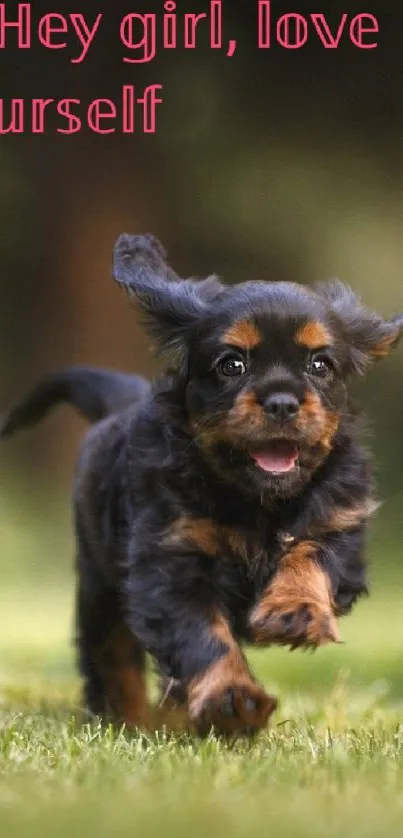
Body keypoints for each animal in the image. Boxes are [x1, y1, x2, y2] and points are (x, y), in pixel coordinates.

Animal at [1, 233, 402, 740]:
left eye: (320, 364)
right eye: (231, 365)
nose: (282, 403)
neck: (257, 500)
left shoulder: (340, 524)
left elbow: (309, 554)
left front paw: (295, 610)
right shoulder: (170, 561)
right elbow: (204, 636)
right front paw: (232, 700)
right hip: (100, 587)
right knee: (112, 659)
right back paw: (133, 722)